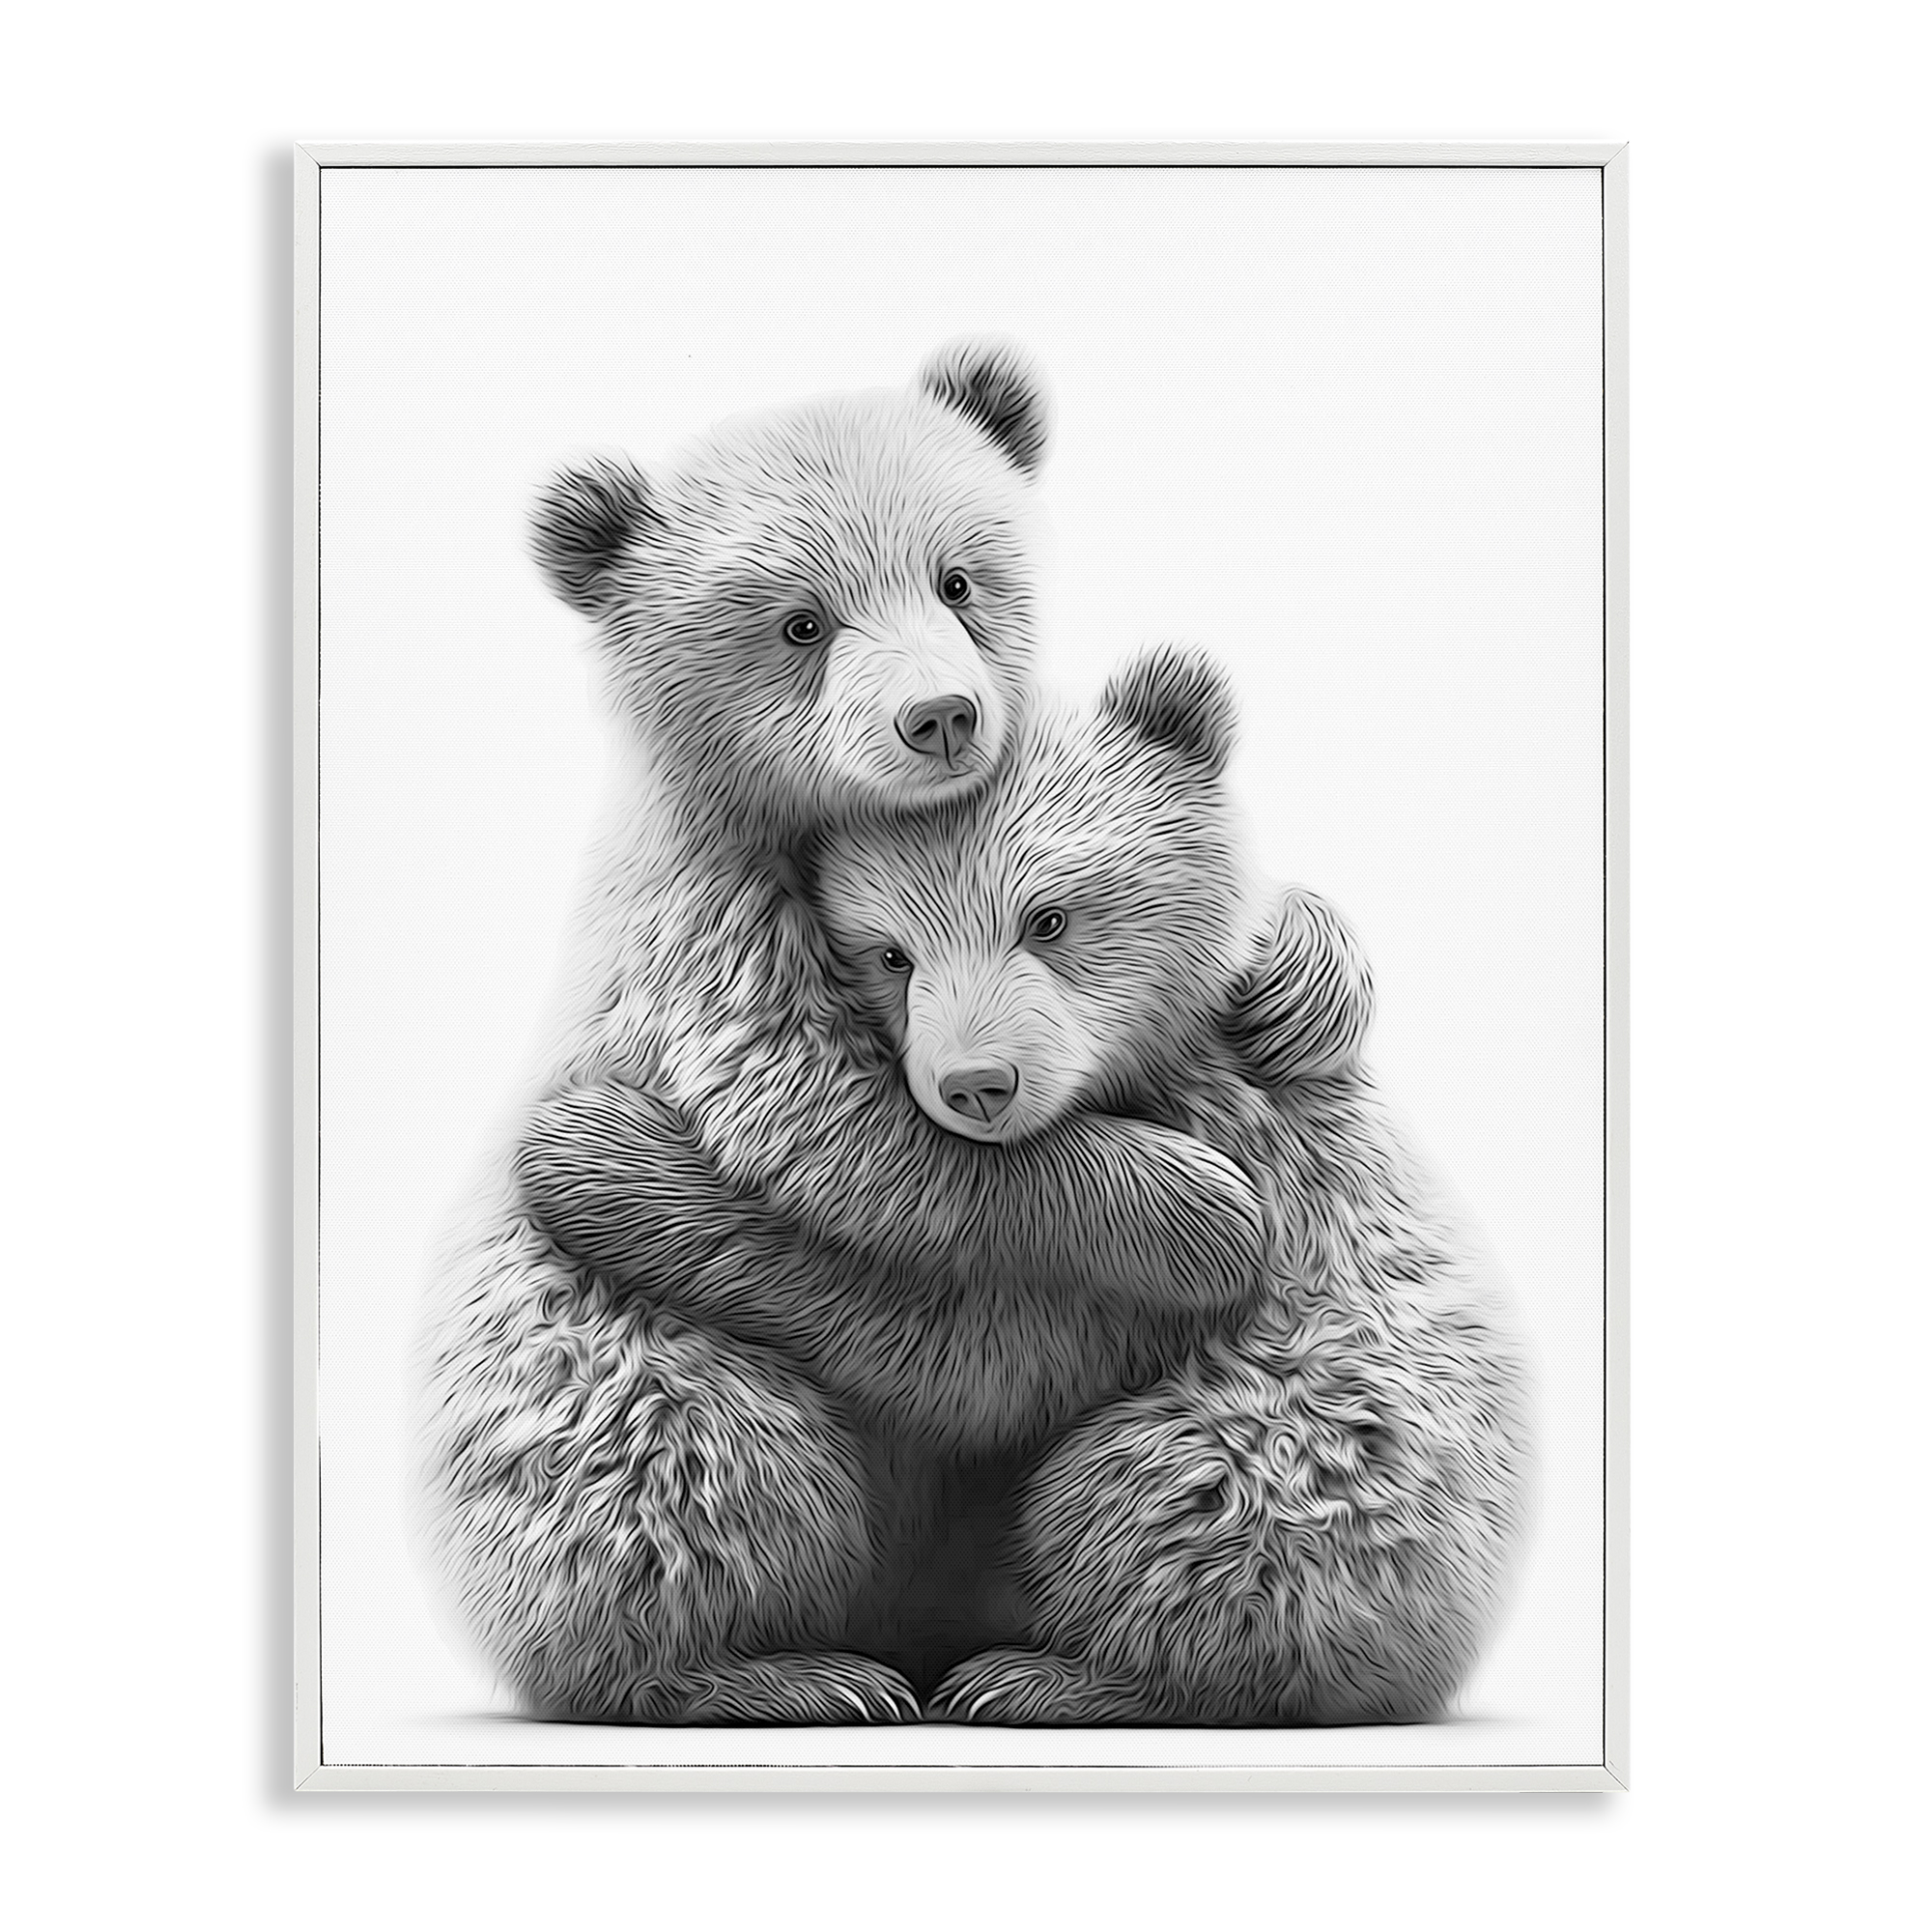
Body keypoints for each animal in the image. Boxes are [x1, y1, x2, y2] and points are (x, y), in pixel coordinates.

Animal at [416, 344, 1304, 1724]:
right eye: (798, 621)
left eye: (957, 576)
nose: (940, 714)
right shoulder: (709, 934)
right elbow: (844, 1138)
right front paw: (1191, 1207)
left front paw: (1299, 974)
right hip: (607, 1374)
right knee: (704, 1456)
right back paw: (787, 1668)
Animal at [795, 646, 1533, 1725]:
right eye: (890, 952)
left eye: (1049, 916)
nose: (977, 1083)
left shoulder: (1243, 1175)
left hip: (1298, 1447)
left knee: (1151, 1494)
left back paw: (1036, 1674)